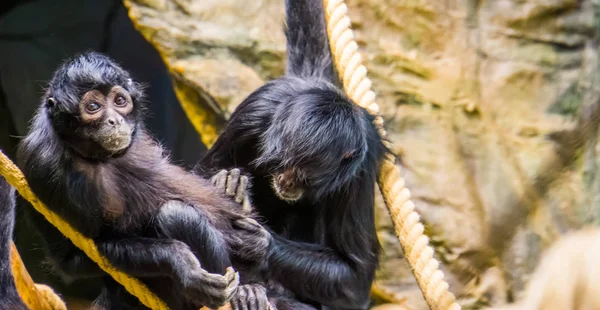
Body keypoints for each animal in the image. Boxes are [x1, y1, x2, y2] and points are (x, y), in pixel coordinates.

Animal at [15, 52, 272, 310]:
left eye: (120, 101)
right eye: (93, 107)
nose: (115, 120)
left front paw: (235, 193)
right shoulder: (42, 164)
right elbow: (72, 259)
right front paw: (182, 264)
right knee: (176, 214)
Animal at [198, 0, 390, 308]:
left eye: (305, 174)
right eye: (284, 162)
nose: (287, 181)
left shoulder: (361, 167)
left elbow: (355, 280)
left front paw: (260, 243)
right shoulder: (254, 112)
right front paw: (225, 189)